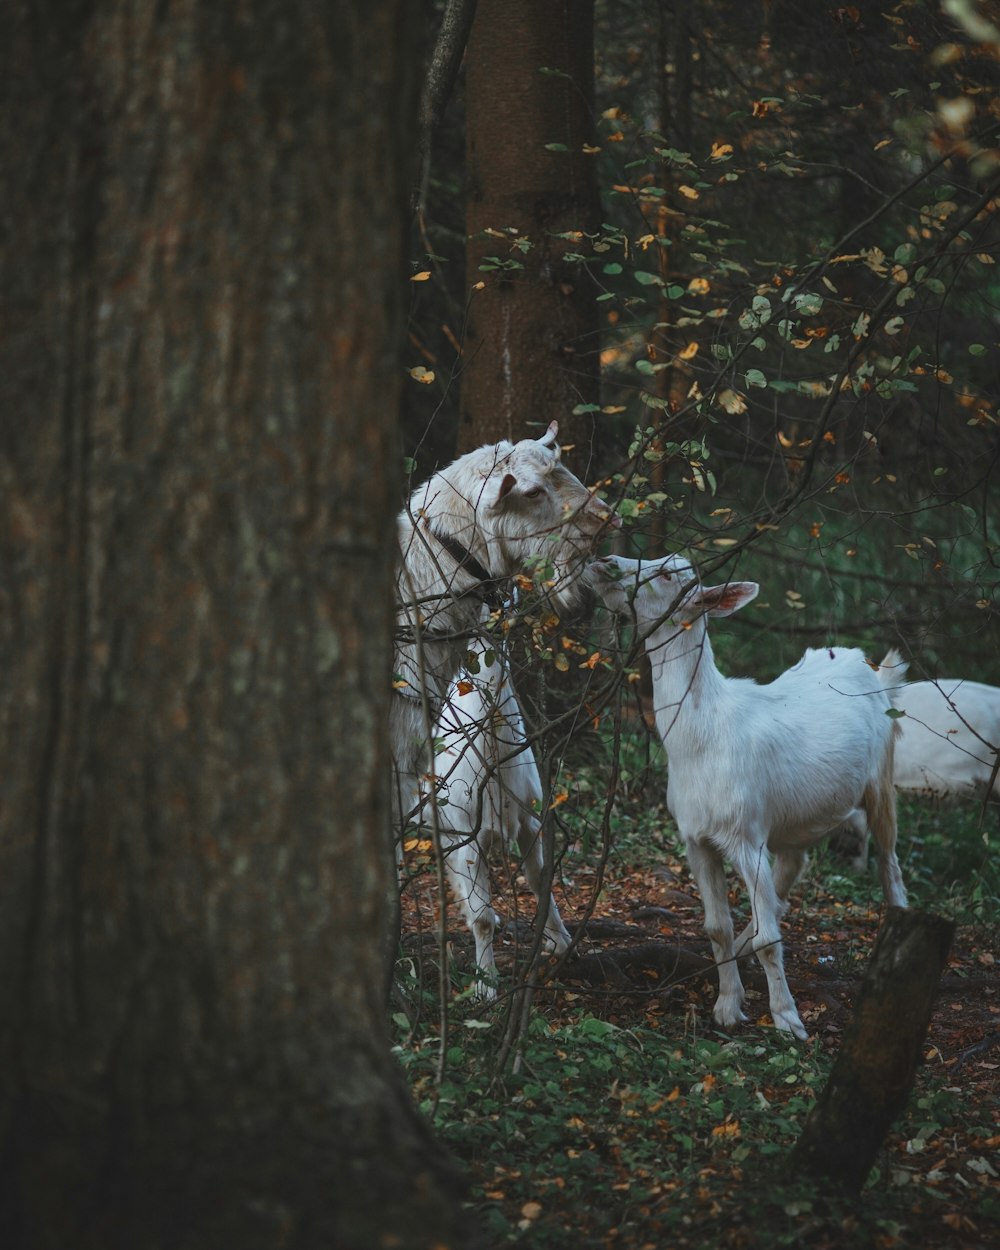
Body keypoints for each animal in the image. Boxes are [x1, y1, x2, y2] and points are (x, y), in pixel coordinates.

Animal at [427, 640, 570, 1000]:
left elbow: (540, 879)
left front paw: (561, 942)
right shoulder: (470, 836)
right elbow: (482, 918)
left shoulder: (530, 821)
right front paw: (486, 984)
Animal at [585, 552, 905, 1040]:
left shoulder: (746, 833)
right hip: (793, 817)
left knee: (890, 863)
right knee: (792, 869)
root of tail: (874, 666)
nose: (605, 560)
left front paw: (788, 1020)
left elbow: (771, 940)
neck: (699, 746)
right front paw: (726, 1006)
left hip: (882, 777)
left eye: (668, 573)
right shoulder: (695, 836)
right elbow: (716, 926)